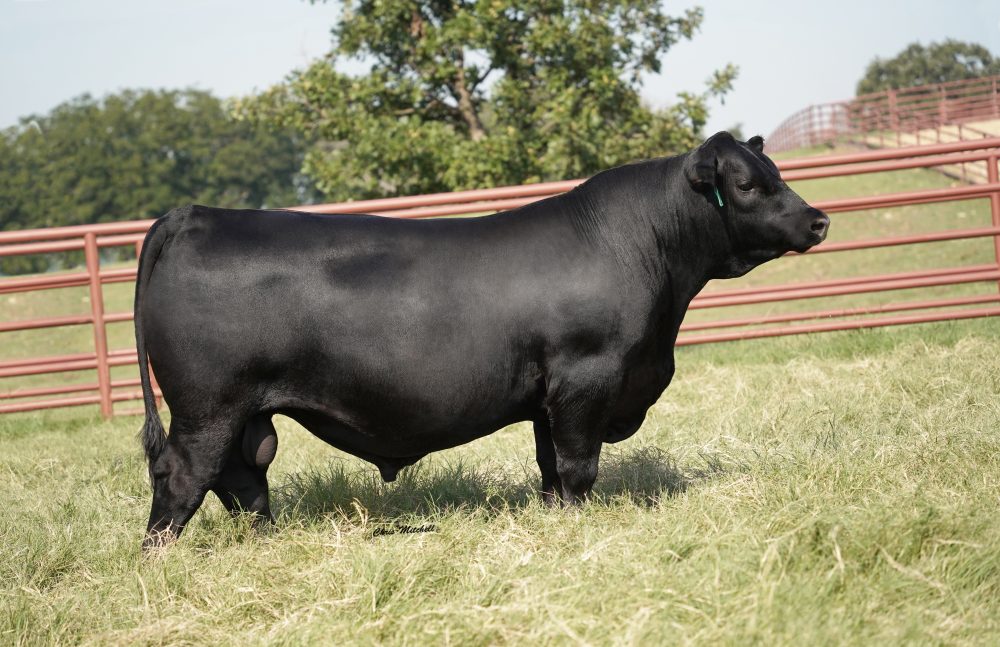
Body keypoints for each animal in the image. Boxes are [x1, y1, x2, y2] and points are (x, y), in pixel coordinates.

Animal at [135, 132, 829, 549]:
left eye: (777, 172)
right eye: (747, 184)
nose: (819, 219)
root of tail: (194, 215)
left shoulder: (550, 397)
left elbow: (551, 469)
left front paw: (554, 520)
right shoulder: (586, 379)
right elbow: (578, 467)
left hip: (246, 412)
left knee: (243, 477)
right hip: (209, 404)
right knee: (182, 474)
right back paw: (158, 558)